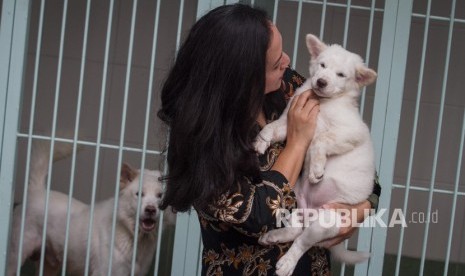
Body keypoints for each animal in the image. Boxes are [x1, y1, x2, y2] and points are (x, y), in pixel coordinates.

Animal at [7, 141, 164, 274]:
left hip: (49, 265)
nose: (151, 209)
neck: (130, 234)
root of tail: (37, 190)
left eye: (160, 196)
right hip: (16, 256)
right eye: (139, 194)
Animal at [254, 34, 376, 276]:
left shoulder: (352, 132)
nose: (321, 82)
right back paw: (271, 236)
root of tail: (309, 211)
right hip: (290, 199)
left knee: (302, 241)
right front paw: (261, 141)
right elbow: (272, 127)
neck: (322, 102)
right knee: (295, 230)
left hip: (326, 222)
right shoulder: (288, 123)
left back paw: (286, 264)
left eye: (341, 75)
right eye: (322, 65)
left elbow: (319, 141)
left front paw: (316, 170)